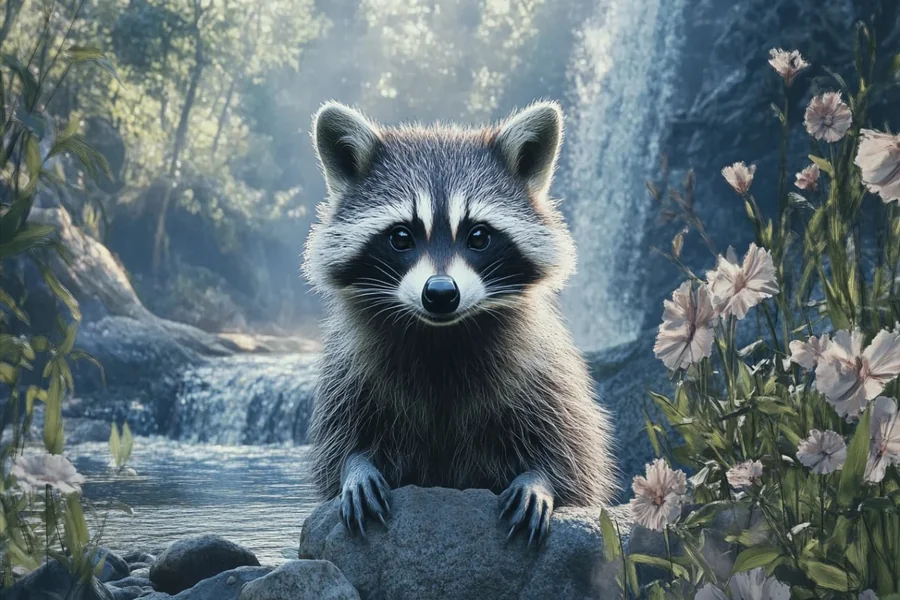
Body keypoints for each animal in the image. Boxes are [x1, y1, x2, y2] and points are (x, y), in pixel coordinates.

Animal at [302, 100, 616, 544]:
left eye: (479, 236)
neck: (442, 337)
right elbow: (340, 439)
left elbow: (573, 452)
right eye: (401, 237)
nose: (439, 293)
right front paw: (356, 466)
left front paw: (541, 480)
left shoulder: (542, 369)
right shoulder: (350, 369)